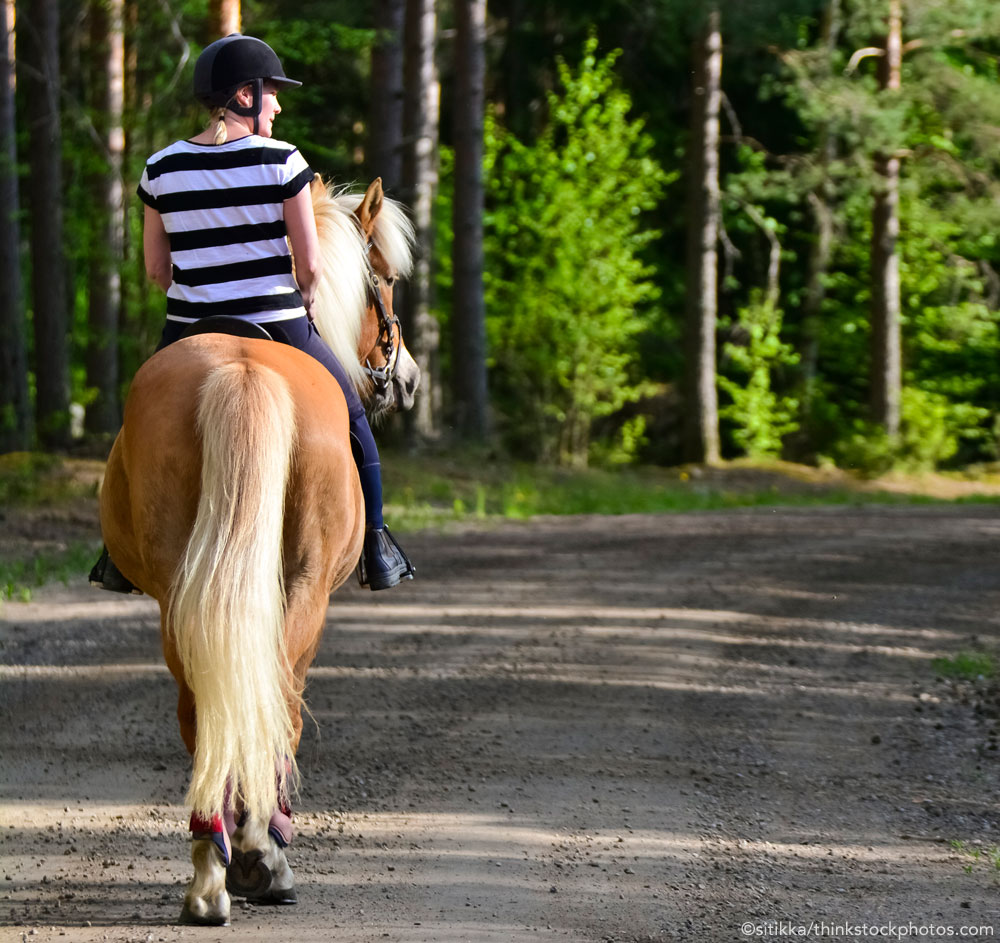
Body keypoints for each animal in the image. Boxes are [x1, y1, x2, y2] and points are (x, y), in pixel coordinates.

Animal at [98, 177, 418, 928]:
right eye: (386, 280)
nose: (409, 380)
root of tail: (240, 369)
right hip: (303, 586)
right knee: (278, 696)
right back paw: (258, 852)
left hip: (179, 593)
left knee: (202, 703)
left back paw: (210, 868)